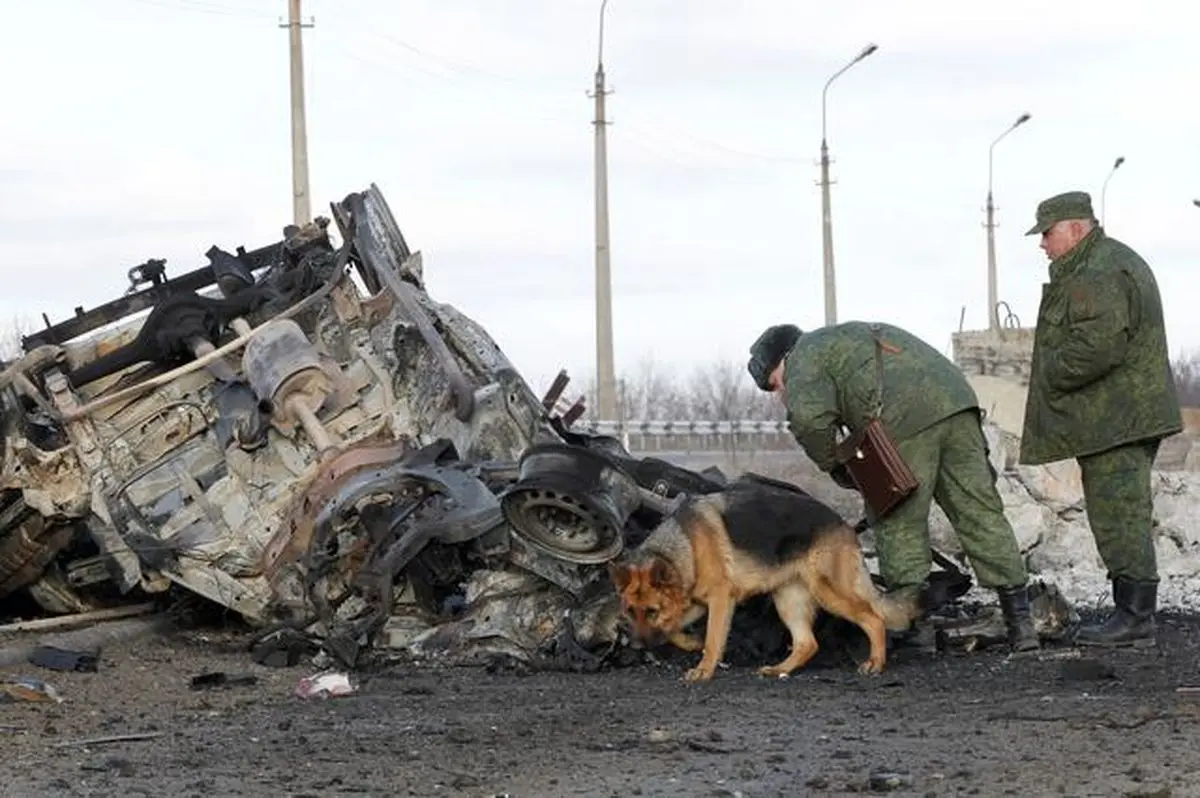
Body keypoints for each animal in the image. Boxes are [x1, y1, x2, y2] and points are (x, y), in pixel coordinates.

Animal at [609, 472, 926, 686]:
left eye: (651, 611)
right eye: (630, 612)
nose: (636, 646)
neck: (683, 547)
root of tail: (843, 523)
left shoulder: (721, 600)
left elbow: (713, 637)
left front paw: (704, 668)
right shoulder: (695, 602)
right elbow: (675, 630)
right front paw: (691, 643)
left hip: (830, 592)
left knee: (874, 619)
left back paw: (875, 663)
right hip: (788, 600)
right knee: (807, 643)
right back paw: (779, 669)